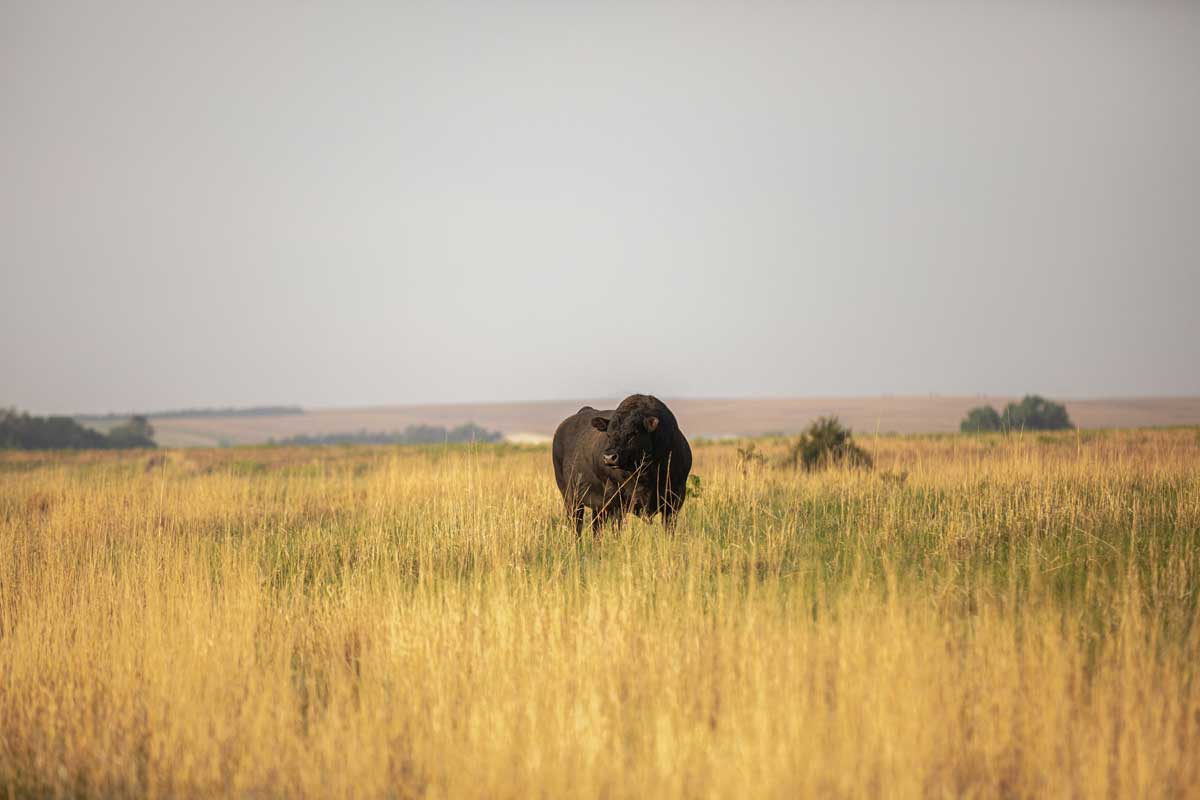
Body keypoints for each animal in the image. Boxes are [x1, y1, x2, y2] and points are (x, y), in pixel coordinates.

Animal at [551, 394, 692, 534]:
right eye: (608, 434)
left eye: (633, 434)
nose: (609, 457)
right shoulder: (616, 501)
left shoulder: (674, 500)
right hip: (571, 499)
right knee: (577, 526)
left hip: (597, 507)